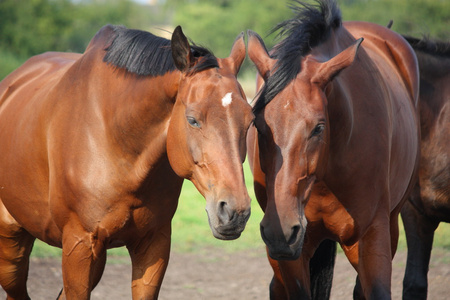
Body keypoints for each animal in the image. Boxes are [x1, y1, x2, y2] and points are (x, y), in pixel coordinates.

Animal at [0, 24, 253, 298]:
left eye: (250, 120)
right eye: (193, 119)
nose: (235, 212)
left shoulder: (153, 243)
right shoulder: (78, 245)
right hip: (11, 245)